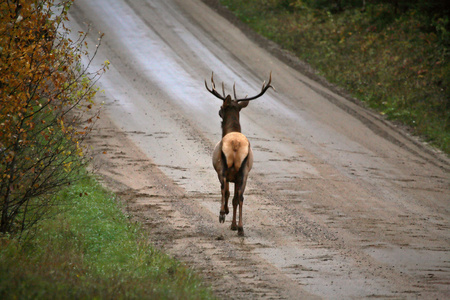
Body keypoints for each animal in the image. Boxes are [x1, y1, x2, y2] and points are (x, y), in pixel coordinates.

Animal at [205, 72, 274, 234]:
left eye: (221, 107)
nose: (219, 111)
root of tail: (236, 144)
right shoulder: (238, 177)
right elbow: (236, 198)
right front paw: (234, 225)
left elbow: (228, 192)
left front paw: (226, 213)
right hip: (244, 171)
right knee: (241, 197)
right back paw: (241, 228)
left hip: (223, 167)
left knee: (224, 189)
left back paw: (222, 214)